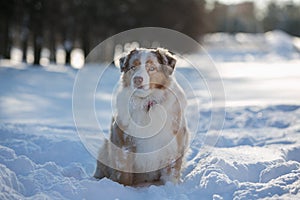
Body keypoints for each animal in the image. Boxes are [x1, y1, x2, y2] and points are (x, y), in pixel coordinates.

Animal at [94, 47, 189, 186]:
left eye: (152, 68)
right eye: (133, 67)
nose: (137, 79)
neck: (146, 103)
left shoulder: (173, 147)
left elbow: (171, 174)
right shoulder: (124, 145)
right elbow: (124, 176)